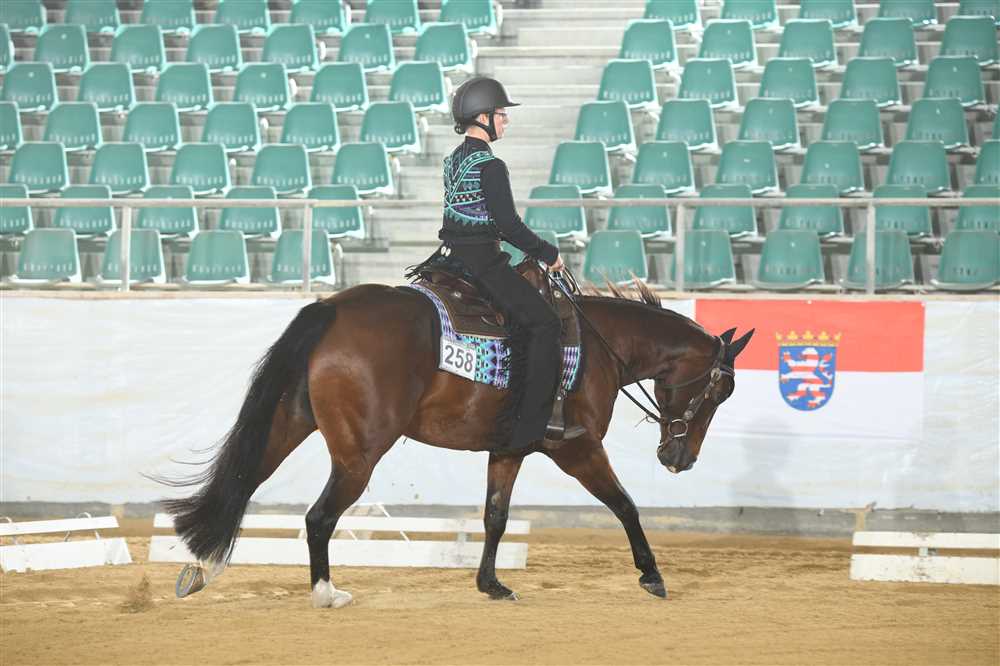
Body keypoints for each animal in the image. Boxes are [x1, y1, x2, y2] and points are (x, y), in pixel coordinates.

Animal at [161, 274, 753, 608]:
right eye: (721, 390)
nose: (679, 458)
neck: (597, 347)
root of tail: (331, 309)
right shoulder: (577, 448)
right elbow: (625, 504)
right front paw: (652, 575)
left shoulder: (509, 449)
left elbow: (496, 516)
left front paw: (491, 585)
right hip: (358, 454)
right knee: (318, 517)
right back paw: (325, 593)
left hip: (289, 422)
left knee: (242, 482)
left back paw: (204, 567)